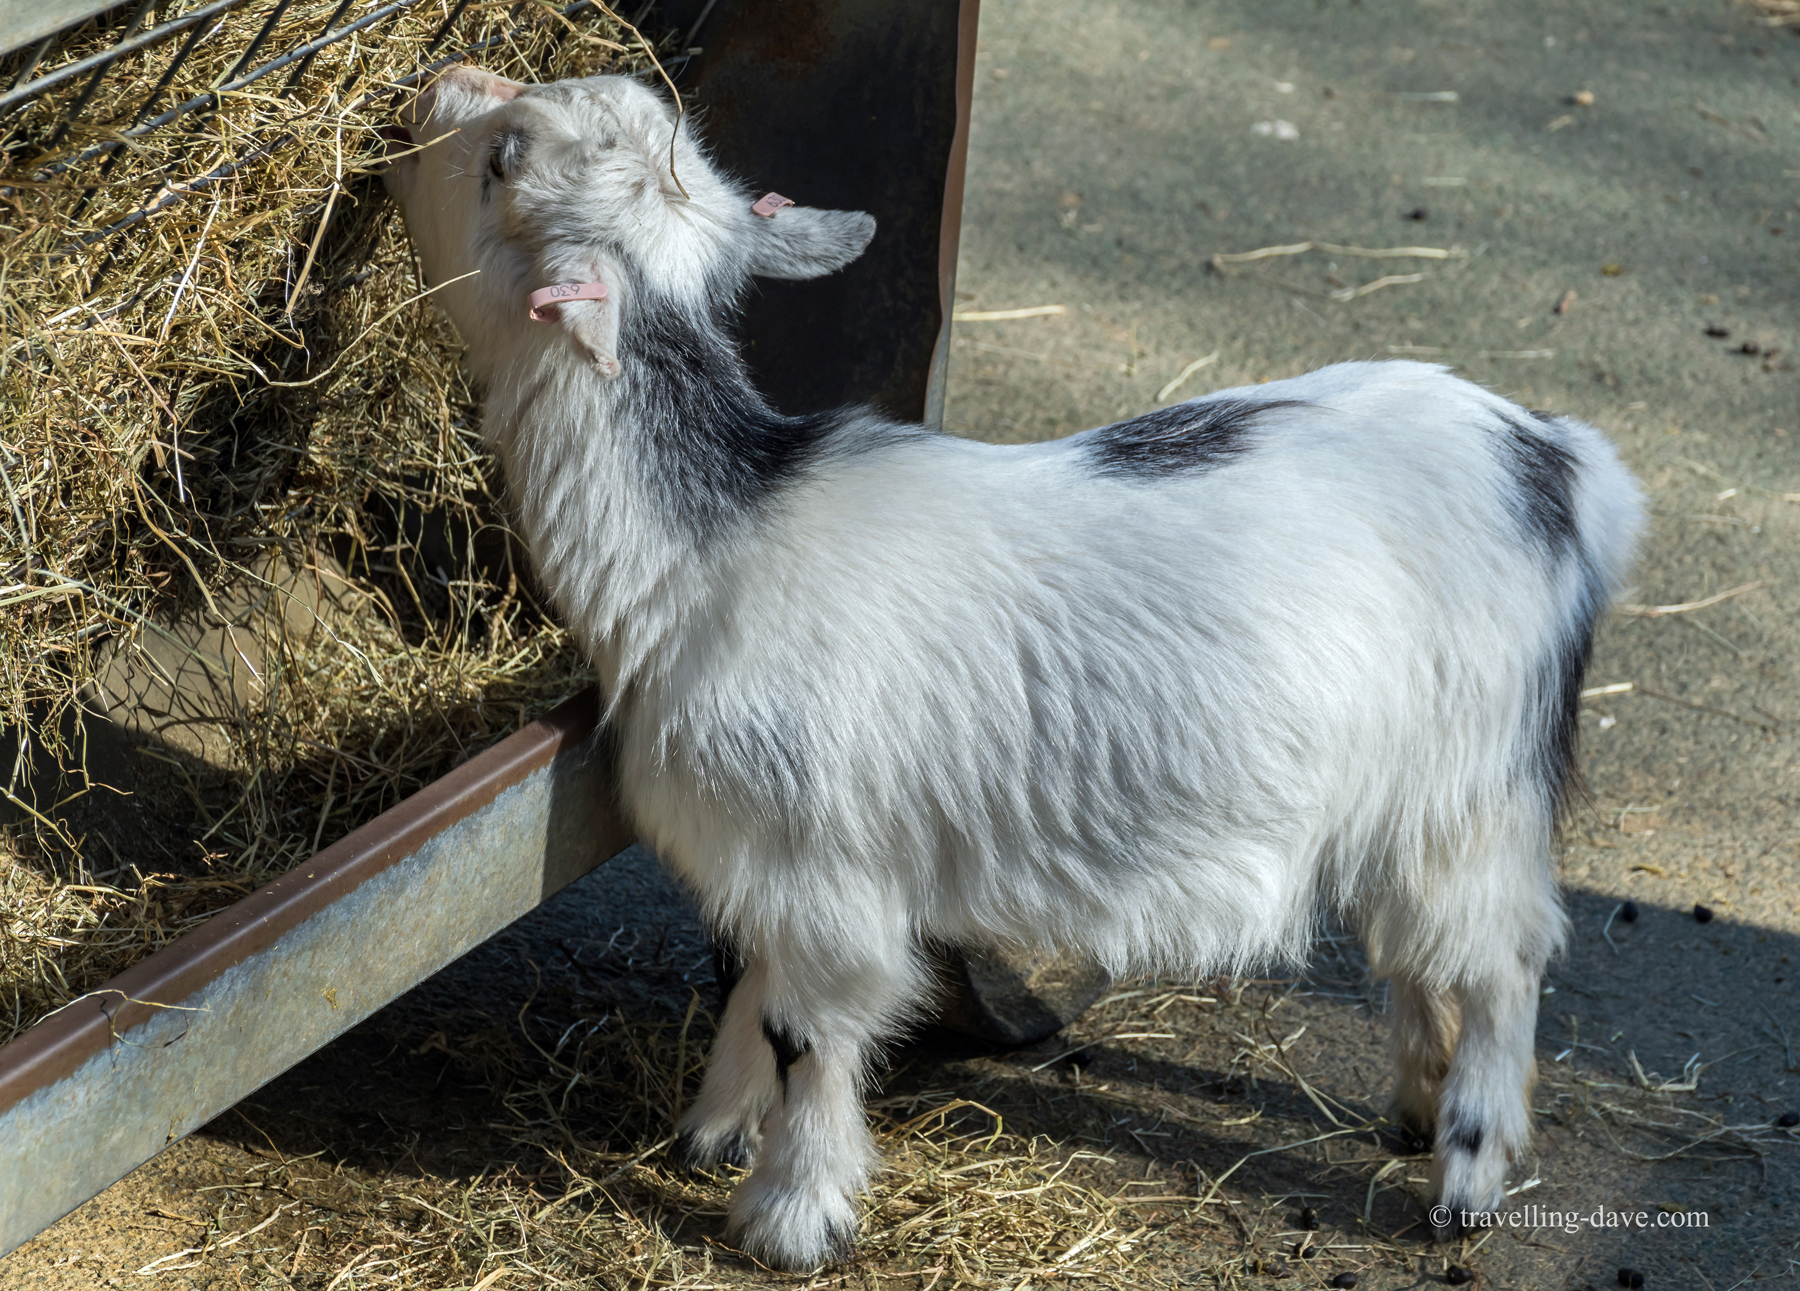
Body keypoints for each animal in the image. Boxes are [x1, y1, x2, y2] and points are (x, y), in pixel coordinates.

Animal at [383, 65, 1646, 1271]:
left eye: (501, 162)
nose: (435, 86)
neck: (707, 542)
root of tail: (1559, 465)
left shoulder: (828, 868)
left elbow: (811, 1029)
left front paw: (792, 1215)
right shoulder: (766, 860)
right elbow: (752, 991)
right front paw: (713, 1131)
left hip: (1473, 785)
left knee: (1503, 957)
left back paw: (1467, 1175)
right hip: (1409, 800)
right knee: (1424, 949)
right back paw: (1411, 1109)